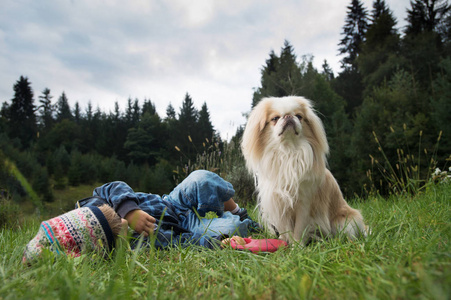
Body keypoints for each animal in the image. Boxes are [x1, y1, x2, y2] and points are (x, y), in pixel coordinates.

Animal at [242, 96, 366, 244]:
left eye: (299, 116)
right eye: (275, 118)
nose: (288, 116)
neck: (288, 151)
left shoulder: (304, 203)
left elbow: (299, 228)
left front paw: (297, 246)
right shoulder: (280, 202)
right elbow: (286, 229)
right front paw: (287, 243)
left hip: (344, 222)